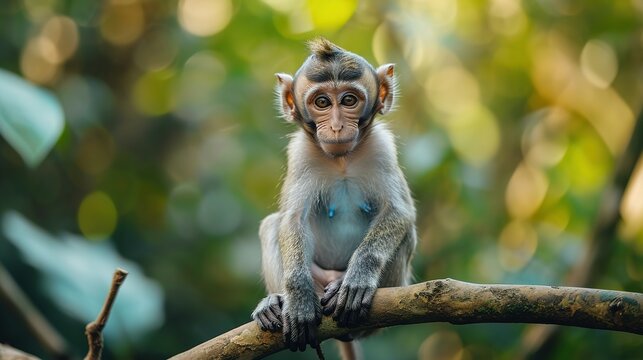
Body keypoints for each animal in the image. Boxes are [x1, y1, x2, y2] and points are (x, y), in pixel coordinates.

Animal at [252, 38, 418, 358]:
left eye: (349, 100)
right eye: (322, 103)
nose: (338, 126)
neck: (342, 160)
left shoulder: (383, 148)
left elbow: (399, 212)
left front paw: (357, 279)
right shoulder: (300, 155)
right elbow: (292, 220)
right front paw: (298, 299)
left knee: (407, 233)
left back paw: (344, 290)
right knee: (271, 225)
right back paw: (275, 303)